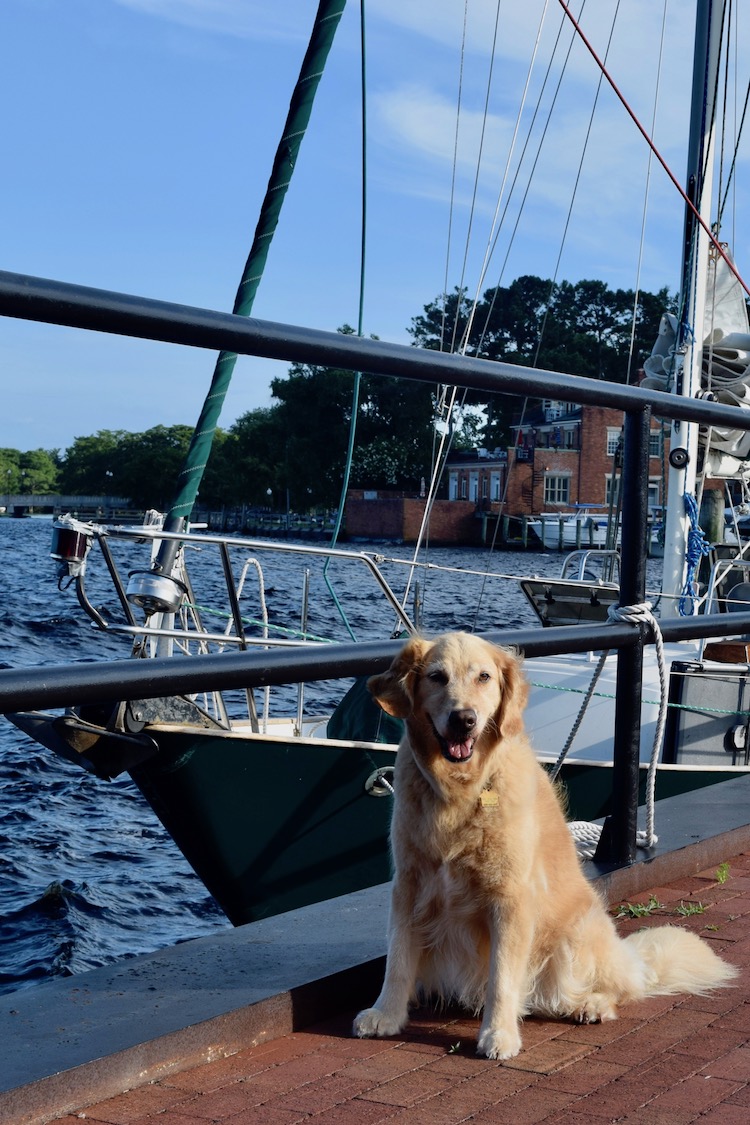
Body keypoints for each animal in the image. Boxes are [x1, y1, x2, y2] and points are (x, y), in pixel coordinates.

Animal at [353, 634, 737, 1062]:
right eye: (437, 677)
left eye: (484, 677)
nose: (464, 718)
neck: (461, 789)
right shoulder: (410, 883)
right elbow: (398, 956)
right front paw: (386, 1014)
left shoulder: (511, 898)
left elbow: (502, 976)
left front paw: (499, 1033)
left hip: (575, 934)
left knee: (615, 990)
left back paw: (592, 1005)